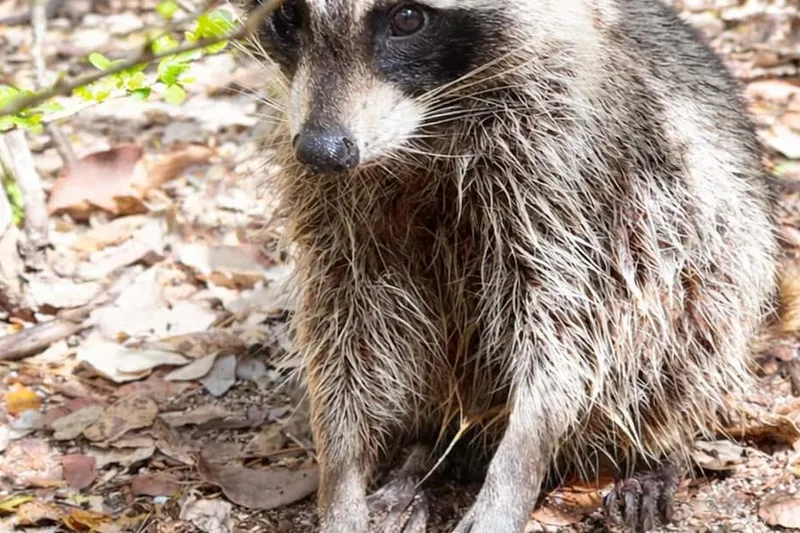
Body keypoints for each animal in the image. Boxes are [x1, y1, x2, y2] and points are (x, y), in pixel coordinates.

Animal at [244, 0, 779, 531]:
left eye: (408, 19)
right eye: (286, 17)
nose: (323, 150)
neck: (427, 130)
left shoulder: (566, 167)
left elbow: (571, 326)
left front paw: (520, 459)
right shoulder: (332, 203)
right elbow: (344, 325)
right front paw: (341, 469)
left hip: (711, 236)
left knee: (690, 315)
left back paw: (652, 450)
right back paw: (424, 452)